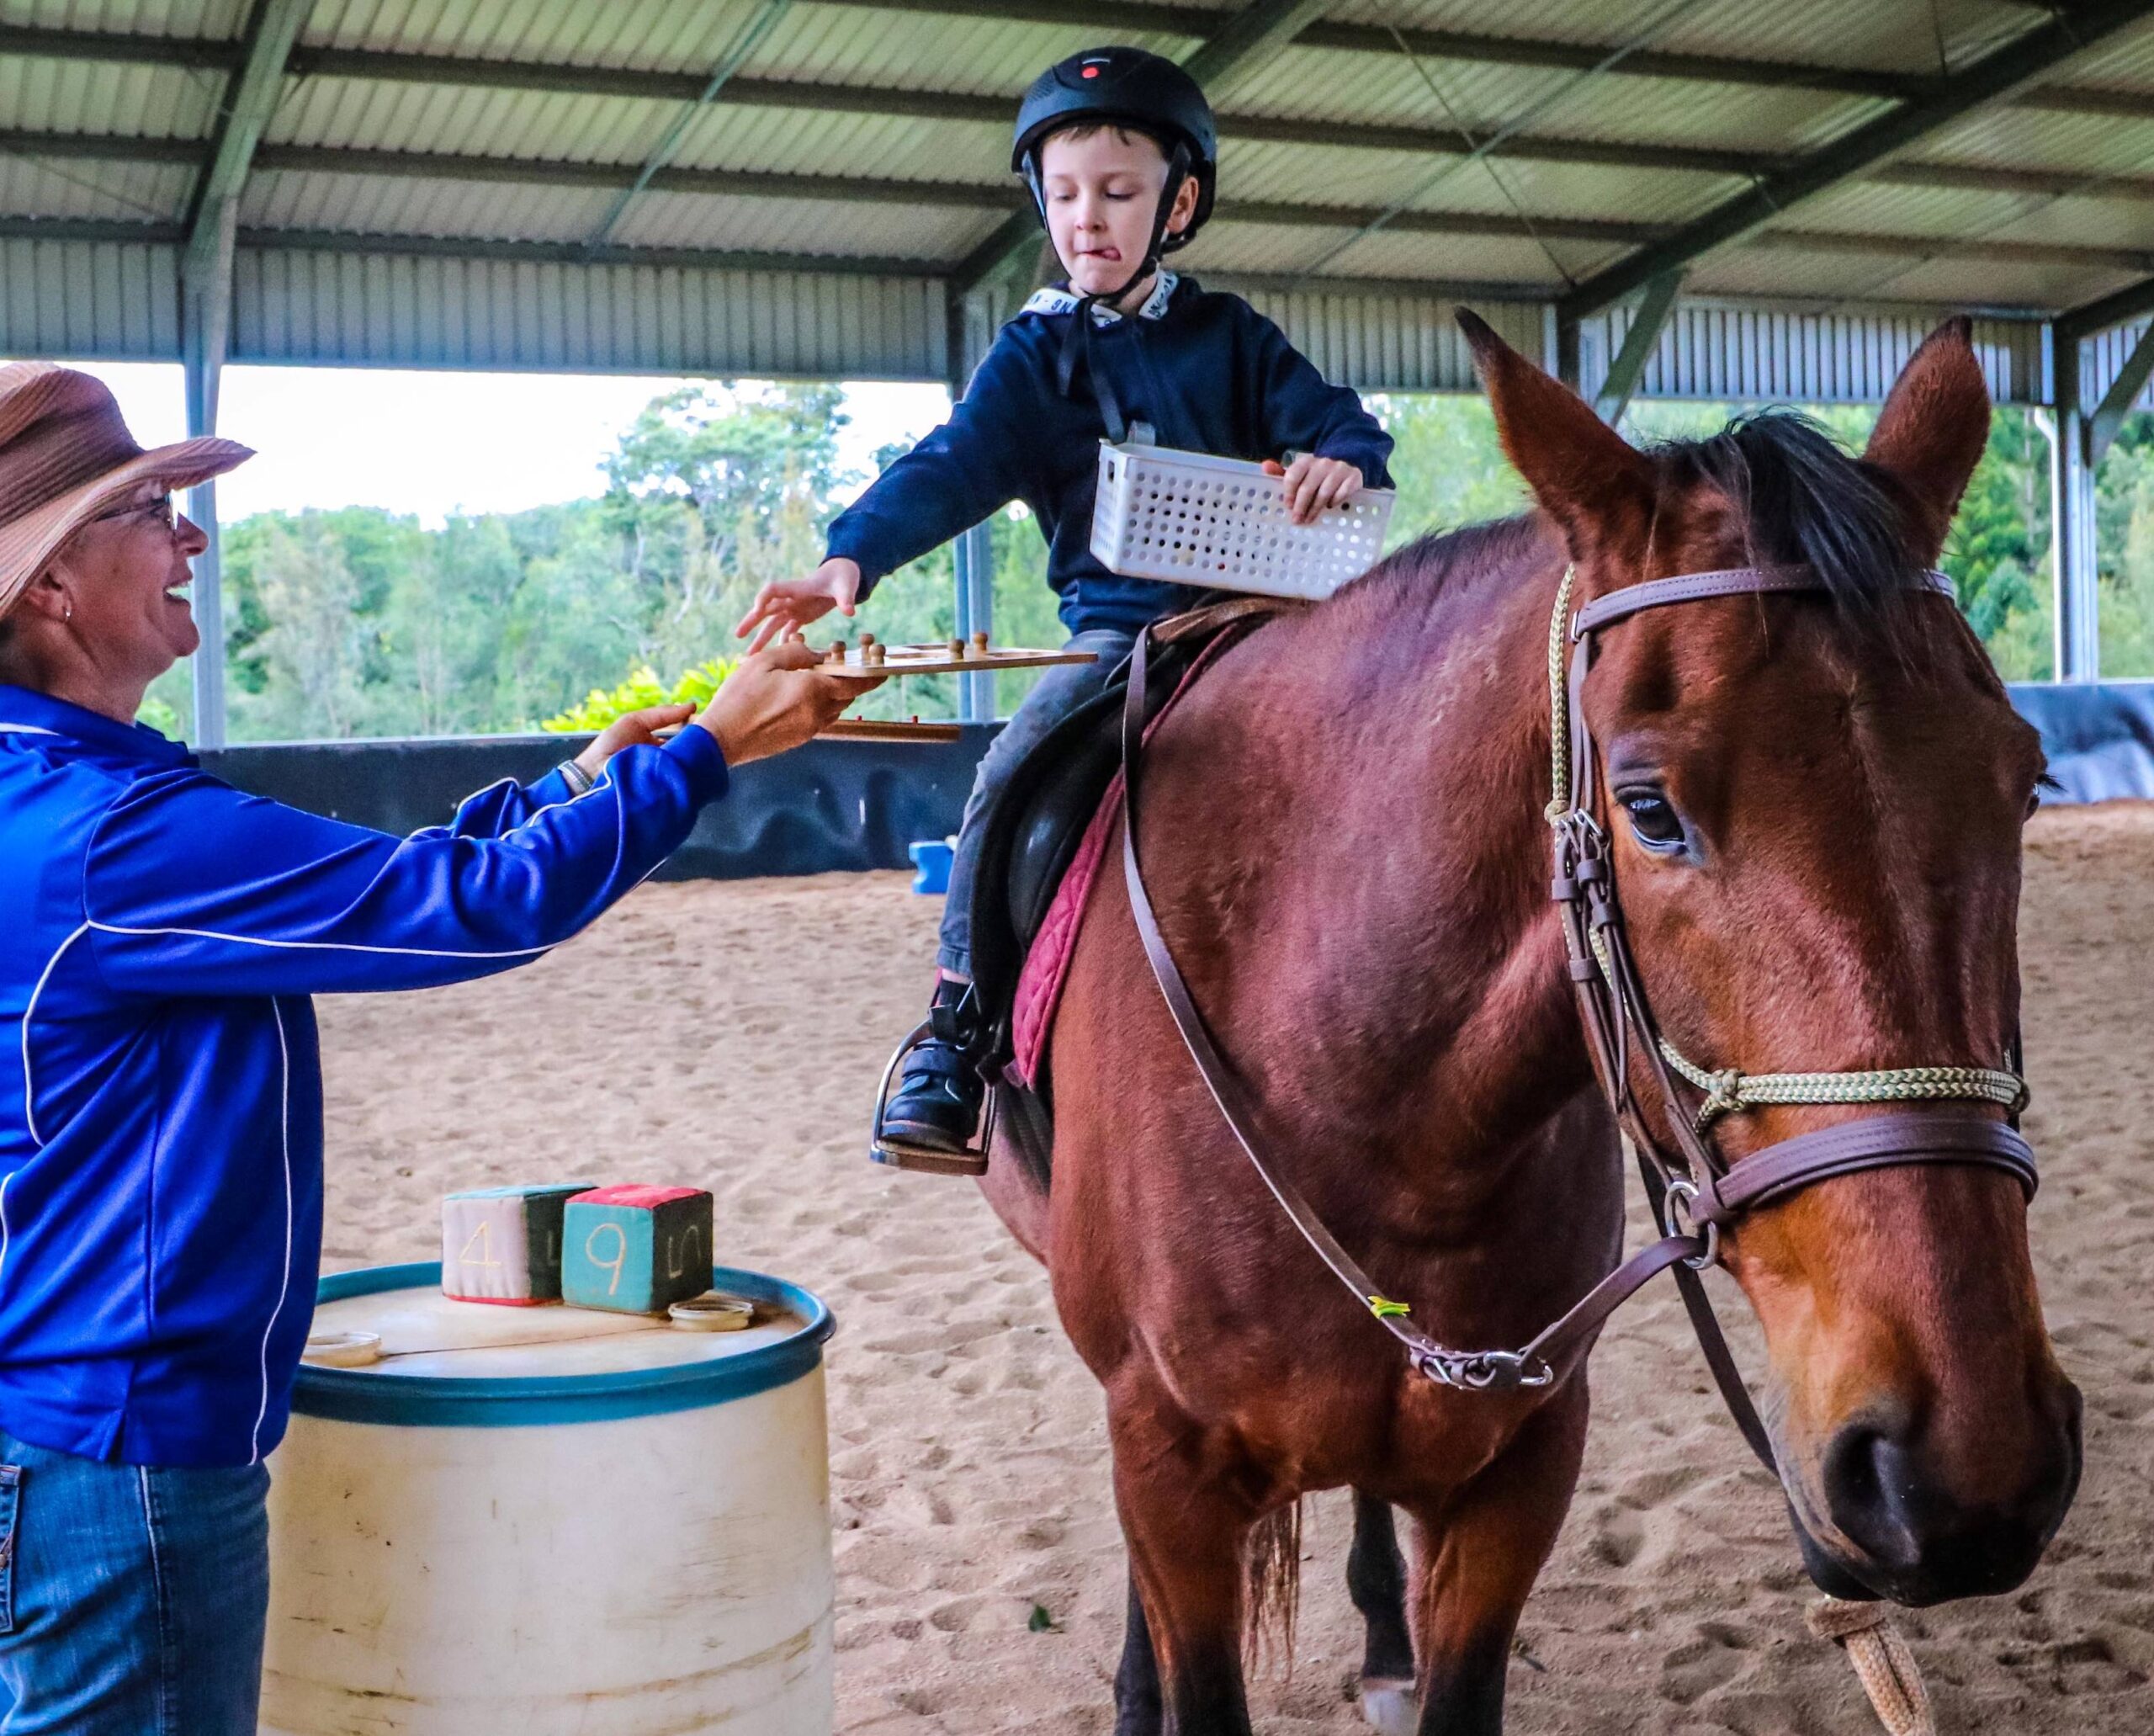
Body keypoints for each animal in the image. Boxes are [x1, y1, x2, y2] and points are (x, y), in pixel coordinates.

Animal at [986, 318, 2076, 1731]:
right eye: (1649, 807)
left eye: (2027, 781)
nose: (1963, 1464)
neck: (1361, 1093)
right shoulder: (1167, 1461)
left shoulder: (1520, 1462)